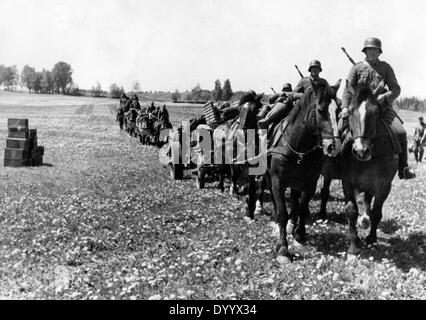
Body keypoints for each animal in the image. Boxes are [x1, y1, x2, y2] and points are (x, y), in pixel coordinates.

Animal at [240, 80, 342, 262]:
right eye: (320, 110)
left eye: (337, 110)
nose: (333, 147)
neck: (298, 145)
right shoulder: (278, 181)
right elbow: (282, 212)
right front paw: (283, 249)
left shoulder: (310, 183)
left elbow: (301, 207)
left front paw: (299, 235)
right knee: (256, 187)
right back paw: (251, 212)